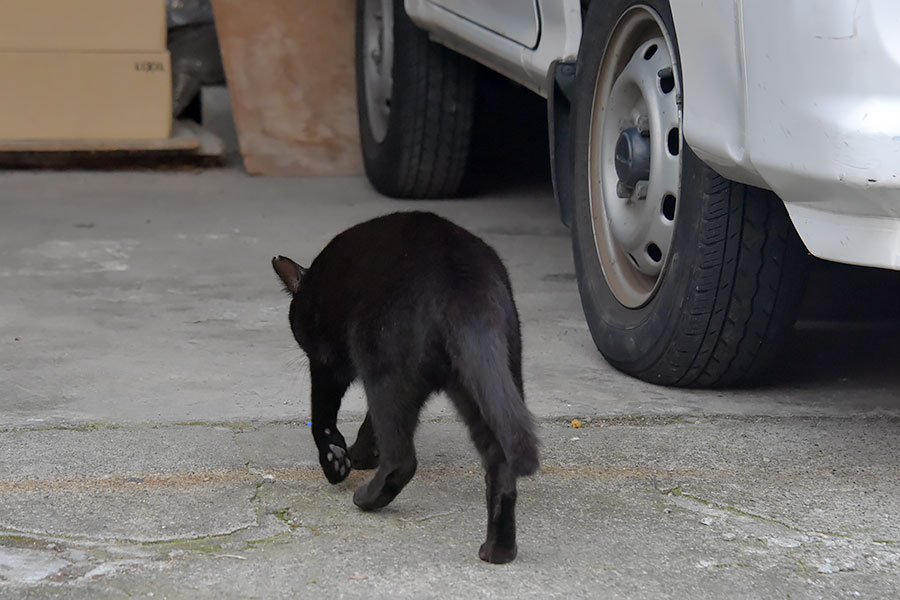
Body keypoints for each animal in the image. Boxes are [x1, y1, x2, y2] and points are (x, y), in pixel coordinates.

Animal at [270, 211, 536, 564]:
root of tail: (462, 282)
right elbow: (368, 423)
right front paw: (360, 454)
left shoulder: (327, 362)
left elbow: (323, 415)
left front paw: (336, 461)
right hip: (486, 386)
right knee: (501, 465)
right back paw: (498, 550)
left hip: (385, 370)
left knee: (402, 459)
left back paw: (366, 499)